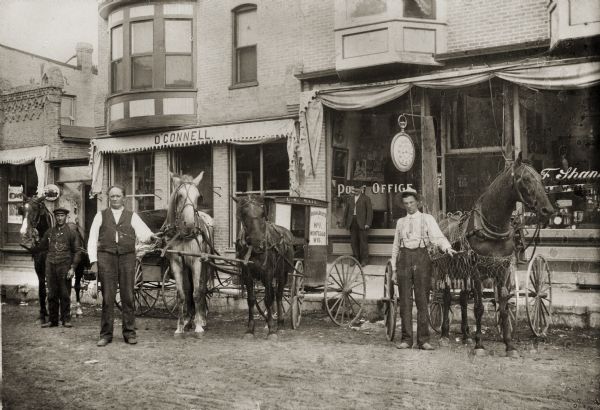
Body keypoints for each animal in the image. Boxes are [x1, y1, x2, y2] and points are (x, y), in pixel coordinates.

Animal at [162, 172, 213, 336]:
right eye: (180, 195)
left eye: (198, 196)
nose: (190, 224)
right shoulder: (176, 263)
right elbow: (181, 294)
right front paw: (180, 326)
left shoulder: (196, 262)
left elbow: (197, 292)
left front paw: (198, 326)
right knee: (188, 289)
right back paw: (189, 319)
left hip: (205, 264)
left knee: (202, 288)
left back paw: (201, 318)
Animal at [233, 195, 294, 340]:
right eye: (244, 214)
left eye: (262, 214)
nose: (258, 244)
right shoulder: (247, 275)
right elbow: (251, 300)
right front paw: (250, 329)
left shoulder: (268, 273)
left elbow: (268, 299)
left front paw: (272, 330)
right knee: (273, 294)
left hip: (282, 274)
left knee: (278, 295)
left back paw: (280, 325)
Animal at [436, 152, 552, 358]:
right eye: (526, 179)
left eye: (541, 178)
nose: (548, 210)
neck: (493, 228)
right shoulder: (477, 272)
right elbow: (479, 307)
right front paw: (479, 345)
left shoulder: (502, 270)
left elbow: (504, 307)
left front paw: (509, 345)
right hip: (445, 271)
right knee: (447, 297)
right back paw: (444, 334)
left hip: (463, 272)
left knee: (463, 299)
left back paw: (466, 335)